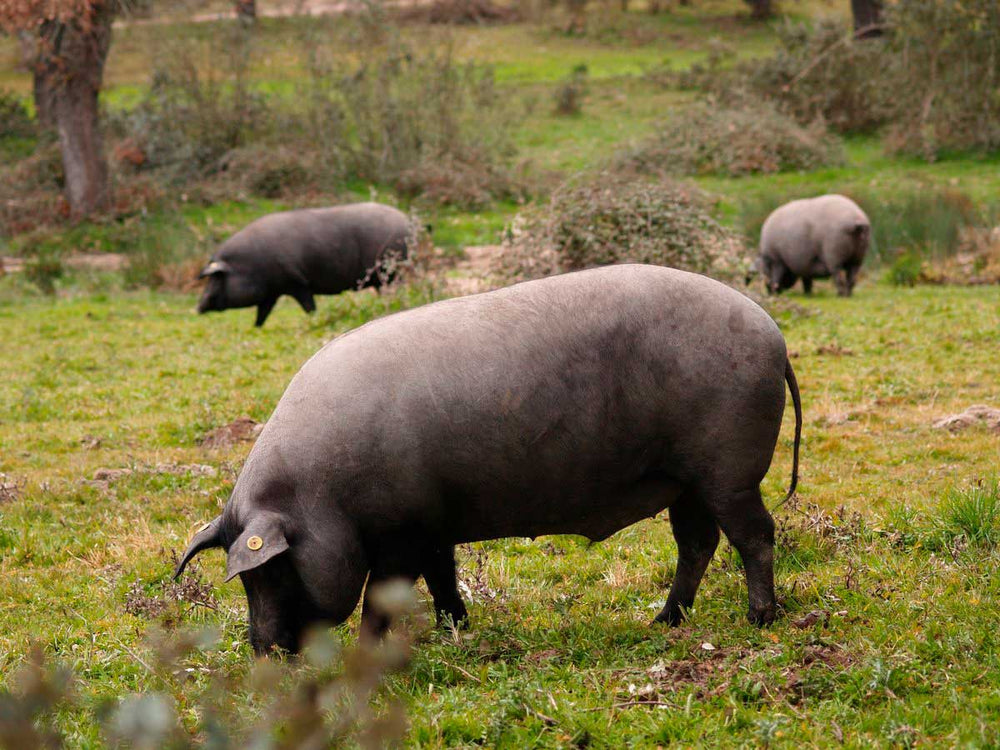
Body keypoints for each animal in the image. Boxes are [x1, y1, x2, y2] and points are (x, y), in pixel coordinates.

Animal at [176, 268, 804, 656]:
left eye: (271, 570)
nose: (263, 651)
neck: (320, 495)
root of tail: (773, 335)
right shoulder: (433, 521)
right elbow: (443, 576)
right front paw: (457, 628)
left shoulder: (402, 530)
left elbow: (384, 596)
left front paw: (367, 650)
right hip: (684, 481)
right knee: (698, 542)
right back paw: (665, 620)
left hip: (728, 469)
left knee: (754, 534)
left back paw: (759, 618)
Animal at [195, 201, 410, 328]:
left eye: (216, 278)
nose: (198, 307)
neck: (251, 266)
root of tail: (407, 221)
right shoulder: (272, 292)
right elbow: (262, 314)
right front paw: (255, 328)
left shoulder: (297, 282)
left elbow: (309, 307)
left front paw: (314, 320)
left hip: (391, 270)